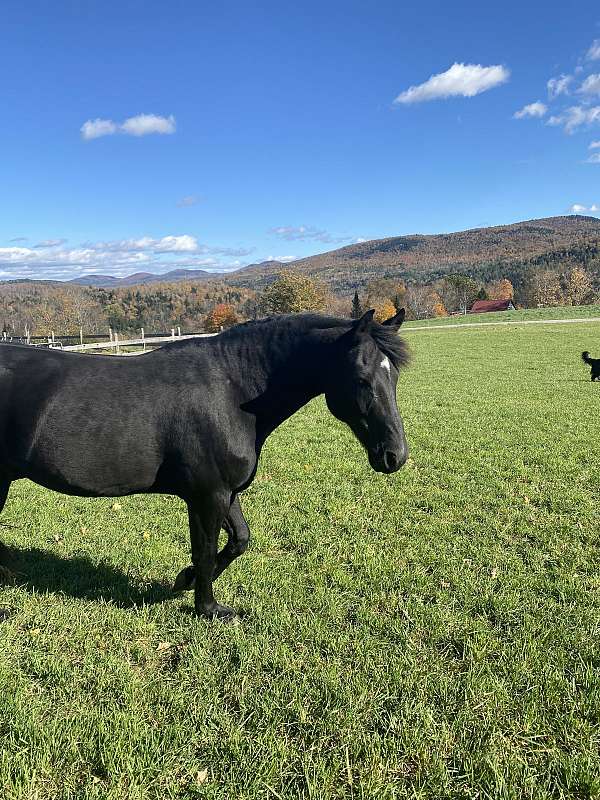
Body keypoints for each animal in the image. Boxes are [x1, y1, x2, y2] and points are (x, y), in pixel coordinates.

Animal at [0, 310, 408, 616]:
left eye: (394, 376)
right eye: (361, 378)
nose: (394, 456)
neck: (232, 390)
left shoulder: (227, 491)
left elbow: (239, 541)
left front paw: (184, 580)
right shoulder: (206, 496)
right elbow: (207, 551)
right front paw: (207, 608)